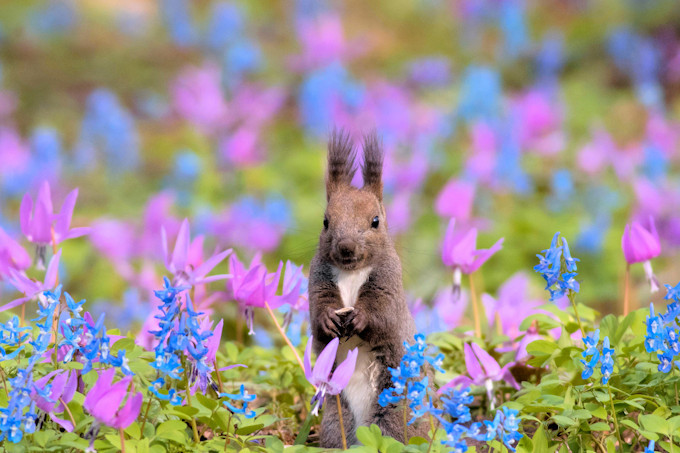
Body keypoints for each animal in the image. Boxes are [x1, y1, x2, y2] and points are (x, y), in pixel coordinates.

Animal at [310, 130, 424, 444]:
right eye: (325, 221)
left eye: (376, 221)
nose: (346, 247)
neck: (351, 272)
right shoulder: (317, 281)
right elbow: (317, 312)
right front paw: (328, 319)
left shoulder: (389, 283)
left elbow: (382, 315)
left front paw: (361, 319)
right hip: (336, 421)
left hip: (393, 413)